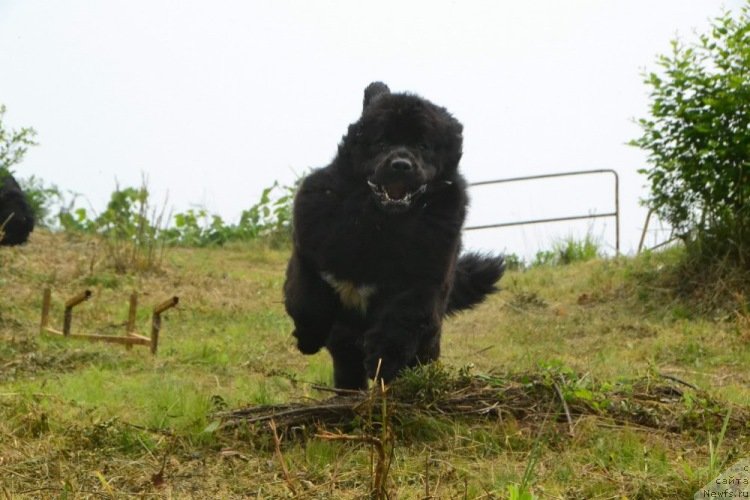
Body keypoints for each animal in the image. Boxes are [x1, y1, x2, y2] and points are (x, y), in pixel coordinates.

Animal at [284, 82, 508, 388]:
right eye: (381, 142)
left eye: (423, 146)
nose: (401, 164)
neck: (381, 224)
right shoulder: (311, 249)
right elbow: (306, 299)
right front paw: (307, 337)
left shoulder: (423, 279)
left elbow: (400, 321)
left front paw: (382, 362)